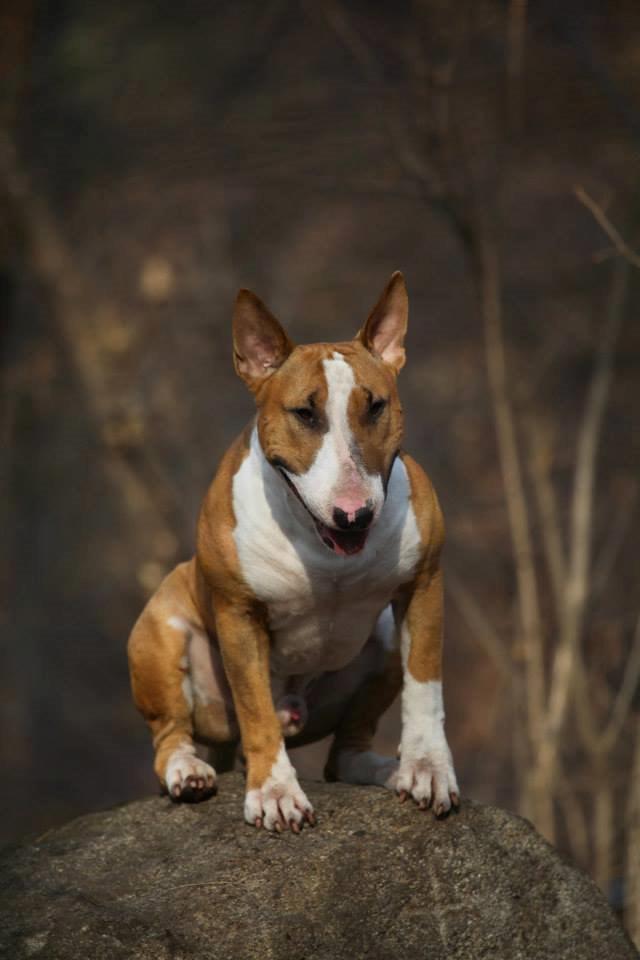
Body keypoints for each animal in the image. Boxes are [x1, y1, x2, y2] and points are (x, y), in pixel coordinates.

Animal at [129, 272, 460, 832]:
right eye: (304, 413)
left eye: (376, 406)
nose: (355, 515)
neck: (322, 546)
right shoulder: (237, 613)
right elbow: (255, 706)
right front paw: (275, 794)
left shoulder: (423, 586)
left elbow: (426, 685)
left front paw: (427, 769)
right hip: (160, 634)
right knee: (172, 734)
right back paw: (188, 770)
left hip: (383, 640)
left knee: (343, 754)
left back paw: (385, 769)